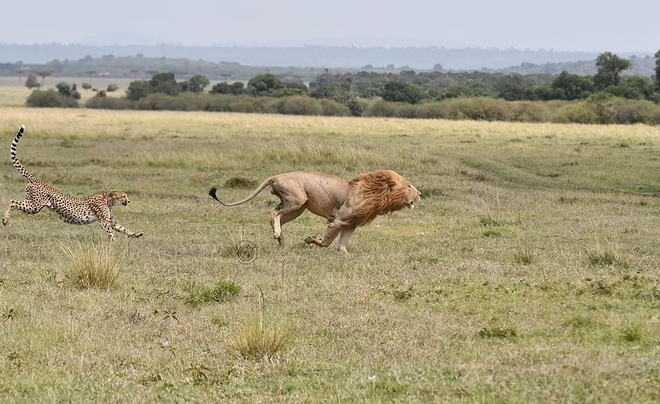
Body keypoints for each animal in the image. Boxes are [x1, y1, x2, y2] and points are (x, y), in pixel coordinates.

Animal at [2, 124, 142, 240]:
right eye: (123, 196)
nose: (129, 201)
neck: (108, 200)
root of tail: (38, 181)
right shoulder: (104, 221)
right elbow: (111, 232)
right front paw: (114, 243)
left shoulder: (111, 220)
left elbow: (123, 228)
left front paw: (136, 234)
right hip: (34, 206)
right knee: (12, 201)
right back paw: (4, 219)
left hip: (33, 204)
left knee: (14, 202)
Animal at [209, 168, 420, 251]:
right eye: (409, 186)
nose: (420, 194)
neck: (376, 194)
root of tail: (276, 176)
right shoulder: (338, 220)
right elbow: (326, 242)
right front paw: (310, 239)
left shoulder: (350, 224)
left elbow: (342, 245)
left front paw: (344, 254)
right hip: (297, 200)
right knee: (273, 213)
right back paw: (277, 235)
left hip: (298, 207)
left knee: (278, 216)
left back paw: (281, 240)